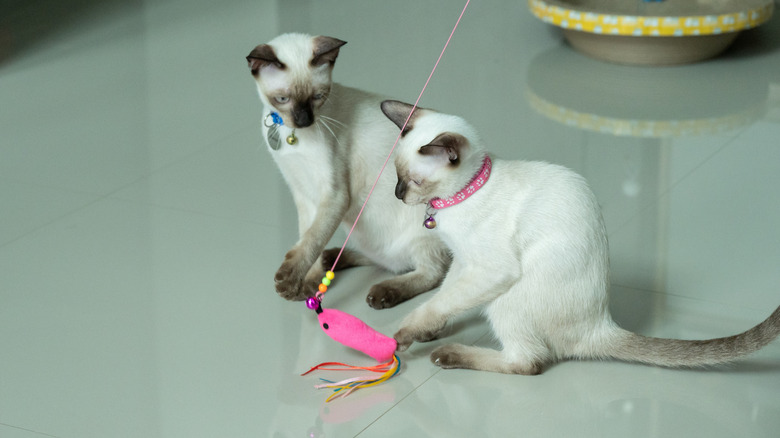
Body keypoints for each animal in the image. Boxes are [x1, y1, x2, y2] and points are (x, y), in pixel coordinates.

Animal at [247, 34, 448, 308]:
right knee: (382, 259)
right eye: (282, 100)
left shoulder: (334, 195)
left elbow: (312, 239)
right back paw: (332, 260)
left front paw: (289, 283)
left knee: (431, 273)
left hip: (421, 234)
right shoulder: (301, 190)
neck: (293, 137)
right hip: (368, 238)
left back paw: (380, 293)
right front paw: (308, 284)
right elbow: (307, 234)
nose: (304, 120)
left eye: (318, 96)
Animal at [382, 101, 780, 374]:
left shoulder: (489, 269)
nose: (398, 195)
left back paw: (449, 355)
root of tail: (601, 326)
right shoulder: (463, 261)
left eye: (414, 181)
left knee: (528, 362)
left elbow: (437, 303)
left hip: (508, 297)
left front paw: (407, 332)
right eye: (397, 177)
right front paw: (427, 331)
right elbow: (445, 295)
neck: (459, 198)